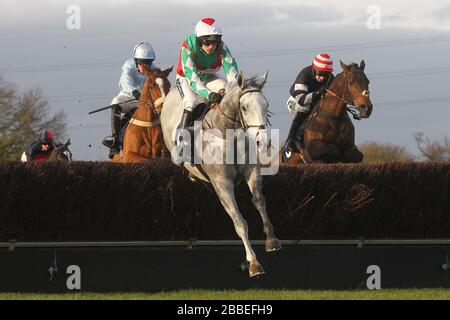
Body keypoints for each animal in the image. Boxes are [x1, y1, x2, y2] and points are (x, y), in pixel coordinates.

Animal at [161, 71, 282, 276]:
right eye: (244, 107)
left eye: (266, 105)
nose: (263, 141)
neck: (227, 133)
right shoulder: (222, 183)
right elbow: (240, 222)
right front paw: (254, 263)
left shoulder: (252, 171)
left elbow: (259, 201)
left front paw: (271, 239)